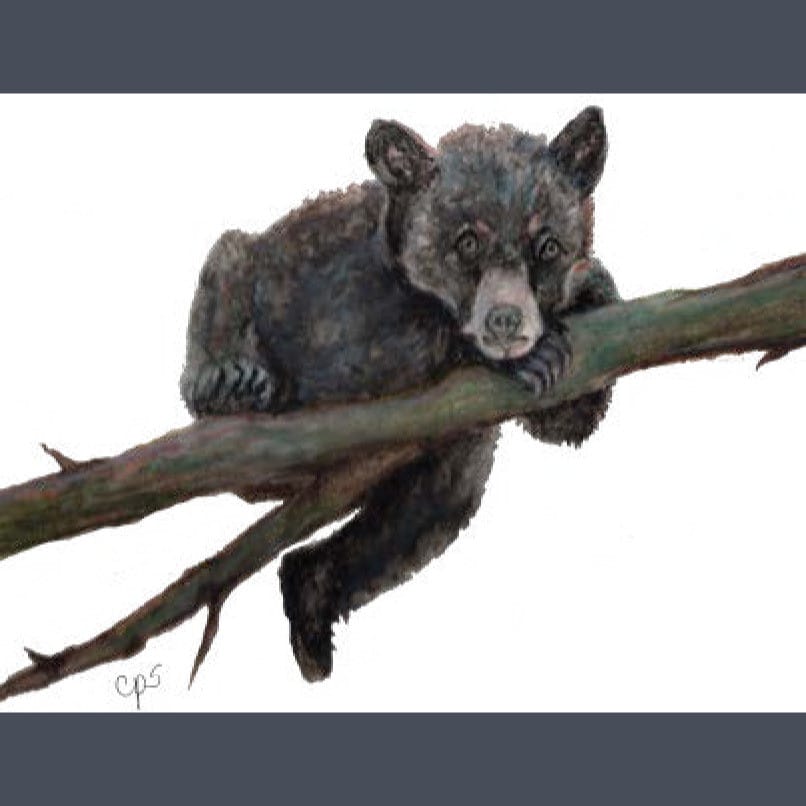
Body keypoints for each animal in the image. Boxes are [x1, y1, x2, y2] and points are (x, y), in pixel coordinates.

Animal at [180, 106, 619, 681]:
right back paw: (227, 383)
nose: (506, 321)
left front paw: (592, 290)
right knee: (227, 258)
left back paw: (311, 609)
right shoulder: (340, 287)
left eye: (547, 246)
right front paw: (523, 353)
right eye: (466, 242)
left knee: (426, 510)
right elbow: (370, 351)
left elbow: (567, 420)